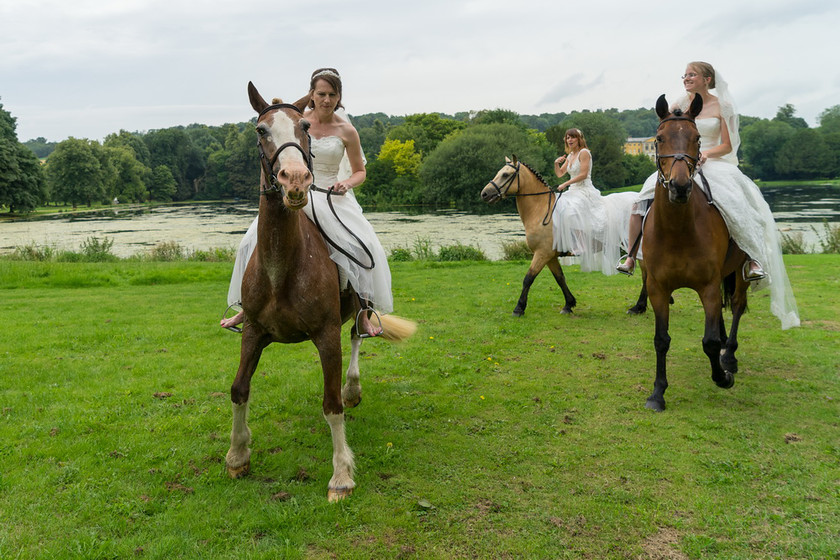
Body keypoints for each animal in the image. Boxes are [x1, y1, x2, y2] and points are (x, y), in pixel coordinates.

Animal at [226, 83, 414, 504]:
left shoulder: (326, 334)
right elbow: (239, 390)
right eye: (260, 130)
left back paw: (353, 387)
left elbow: (331, 404)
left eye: (305, 126)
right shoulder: (253, 333)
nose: (295, 180)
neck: (283, 267)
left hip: (359, 309)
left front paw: (341, 476)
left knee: (357, 335)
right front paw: (237, 456)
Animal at [640, 95, 752, 412]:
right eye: (659, 139)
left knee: (737, 306)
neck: (678, 230)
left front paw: (722, 377)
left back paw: (730, 356)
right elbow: (661, 339)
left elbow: (709, 342)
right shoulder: (658, 288)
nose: (680, 187)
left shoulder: (708, 287)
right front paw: (657, 393)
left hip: (740, 272)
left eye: (697, 138)